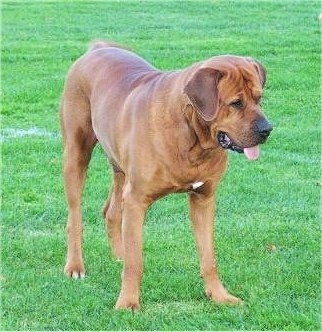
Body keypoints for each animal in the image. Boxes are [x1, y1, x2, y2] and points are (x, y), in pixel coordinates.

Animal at [59, 40, 272, 310]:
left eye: (259, 98)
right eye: (236, 103)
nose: (267, 129)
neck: (193, 136)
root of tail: (97, 47)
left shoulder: (204, 199)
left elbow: (209, 257)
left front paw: (219, 295)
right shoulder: (137, 200)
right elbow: (136, 262)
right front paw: (127, 303)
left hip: (120, 167)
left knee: (111, 211)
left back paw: (118, 254)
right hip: (76, 154)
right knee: (75, 217)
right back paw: (75, 266)